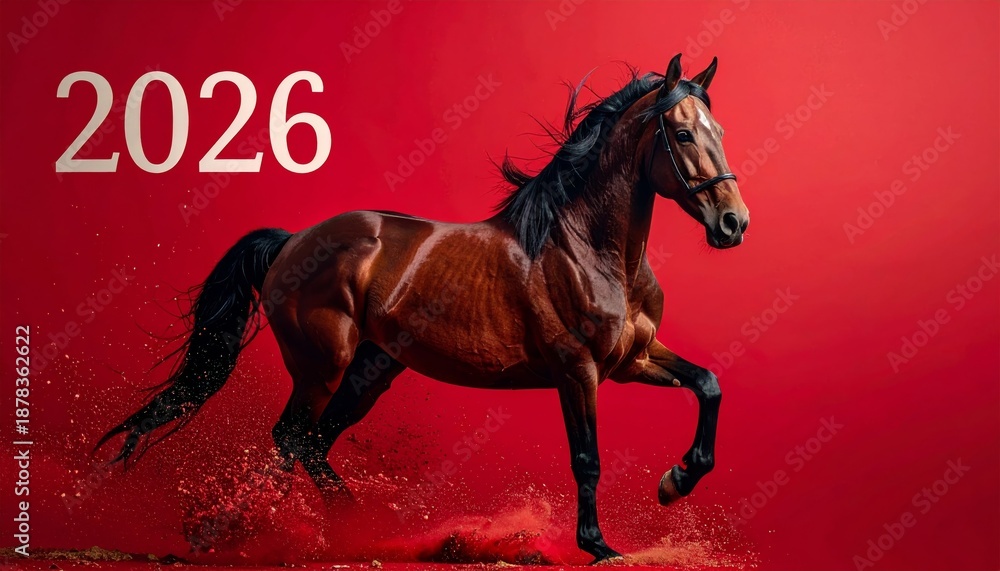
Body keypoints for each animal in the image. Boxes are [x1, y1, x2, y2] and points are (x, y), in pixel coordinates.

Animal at [97, 54, 749, 562]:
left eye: (719, 128)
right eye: (683, 134)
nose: (733, 223)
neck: (588, 247)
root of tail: (291, 241)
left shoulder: (633, 360)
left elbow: (709, 385)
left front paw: (676, 481)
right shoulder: (577, 369)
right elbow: (587, 458)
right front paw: (598, 545)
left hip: (371, 369)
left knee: (310, 443)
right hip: (322, 366)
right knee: (292, 436)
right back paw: (323, 530)